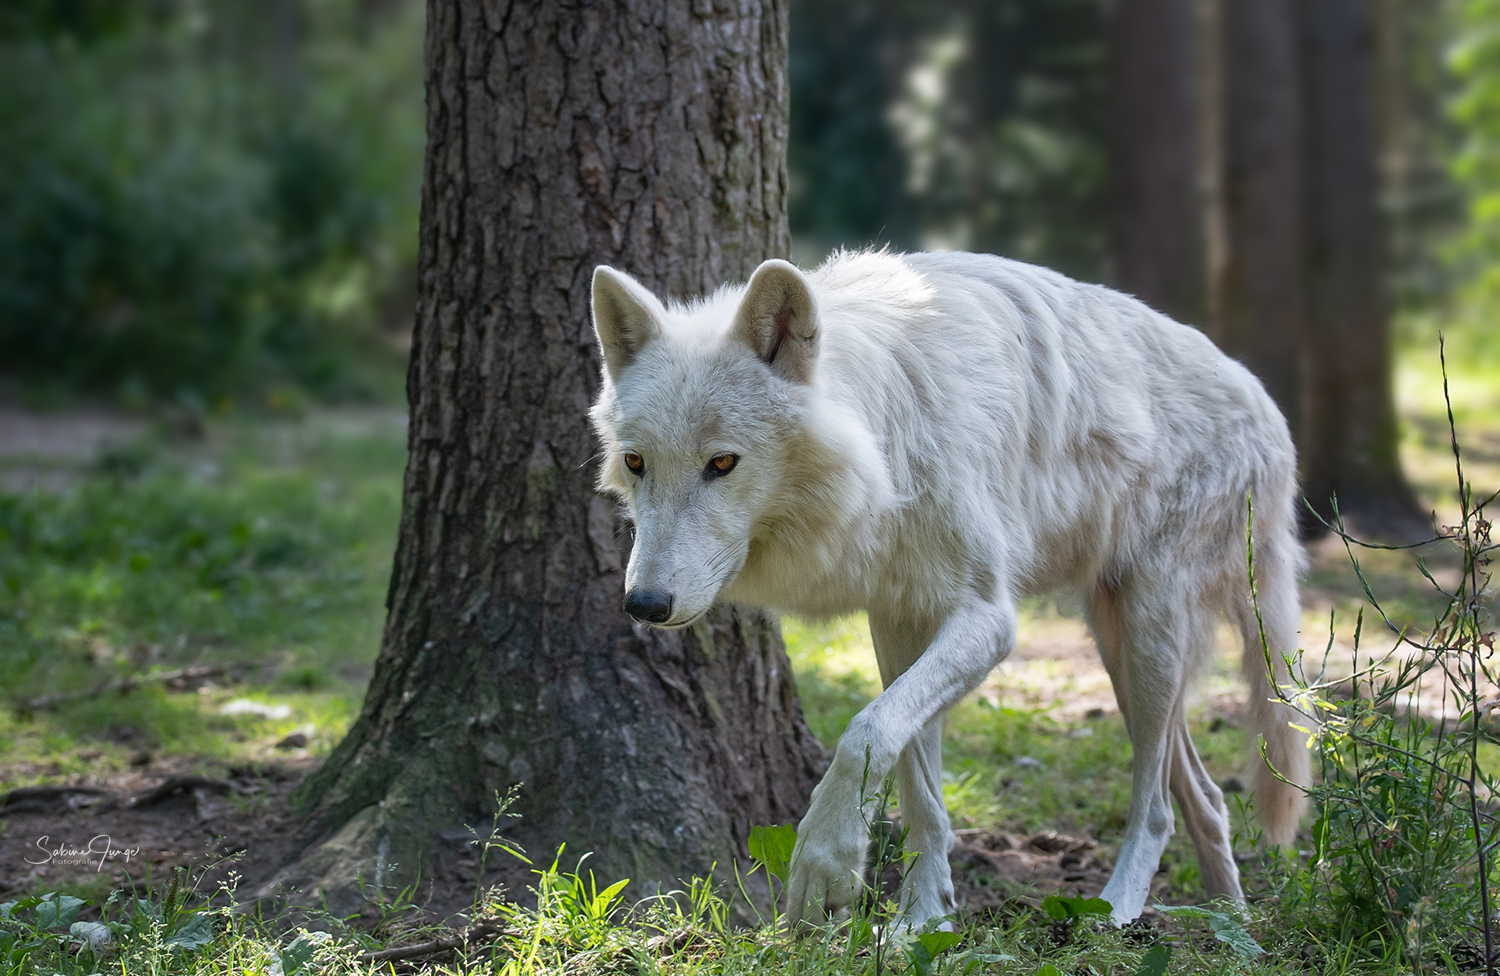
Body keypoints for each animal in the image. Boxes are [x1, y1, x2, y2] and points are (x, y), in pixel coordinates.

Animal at [591, 248, 1308, 929]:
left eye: (722, 463)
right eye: (636, 463)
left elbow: (866, 730)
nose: (644, 605)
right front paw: (922, 917)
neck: (886, 449)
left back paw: (1119, 910)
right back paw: (1233, 920)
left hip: (1146, 630)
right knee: (1205, 796)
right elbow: (916, 780)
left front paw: (826, 865)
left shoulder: (988, 618)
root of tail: (1268, 408)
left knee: (1157, 806)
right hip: (1119, 650)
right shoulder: (898, 617)